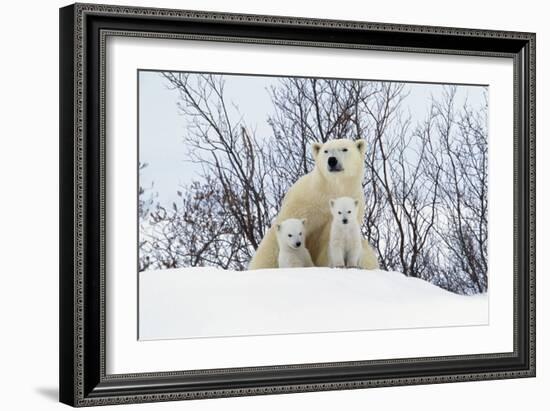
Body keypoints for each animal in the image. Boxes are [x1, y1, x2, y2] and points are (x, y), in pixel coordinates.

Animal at [249, 139, 380, 270]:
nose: (332, 160)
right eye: (326, 151)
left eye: (344, 149)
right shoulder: (302, 202)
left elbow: (329, 242)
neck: (332, 188)